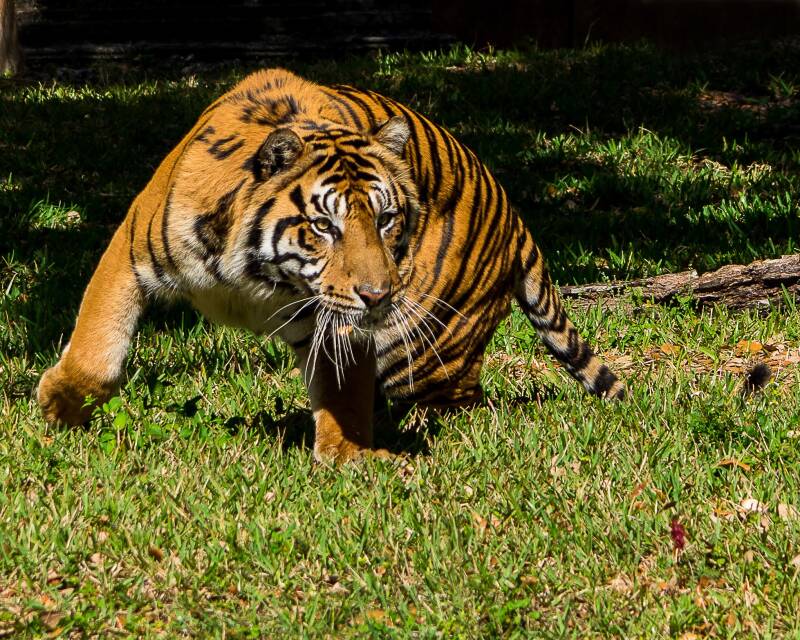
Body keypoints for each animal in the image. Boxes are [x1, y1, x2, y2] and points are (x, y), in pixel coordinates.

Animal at [37, 68, 625, 462]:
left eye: (386, 220)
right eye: (324, 227)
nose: (378, 295)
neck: (252, 275)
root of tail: (514, 214)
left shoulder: (339, 322)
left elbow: (342, 391)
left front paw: (349, 456)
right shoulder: (131, 249)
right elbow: (96, 345)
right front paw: (60, 409)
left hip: (419, 348)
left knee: (461, 402)